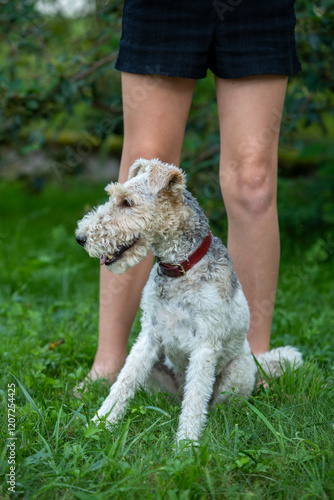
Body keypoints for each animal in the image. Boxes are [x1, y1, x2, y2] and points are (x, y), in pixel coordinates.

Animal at [75, 158, 302, 444]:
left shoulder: (205, 344)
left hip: (235, 373)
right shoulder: (149, 335)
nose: (80, 238)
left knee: (214, 404)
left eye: (127, 202)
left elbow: (195, 401)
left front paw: (186, 445)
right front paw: (100, 423)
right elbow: (123, 382)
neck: (181, 268)